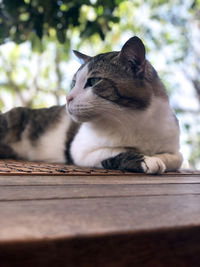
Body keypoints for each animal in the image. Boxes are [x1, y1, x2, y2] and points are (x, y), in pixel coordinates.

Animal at [0, 36, 183, 175]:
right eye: (74, 83)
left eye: (93, 81)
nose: (68, 98)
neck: (135, 120)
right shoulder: (80, 150)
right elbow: (117, 152)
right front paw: (147, 160)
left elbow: (178, 158)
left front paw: (160, 158)